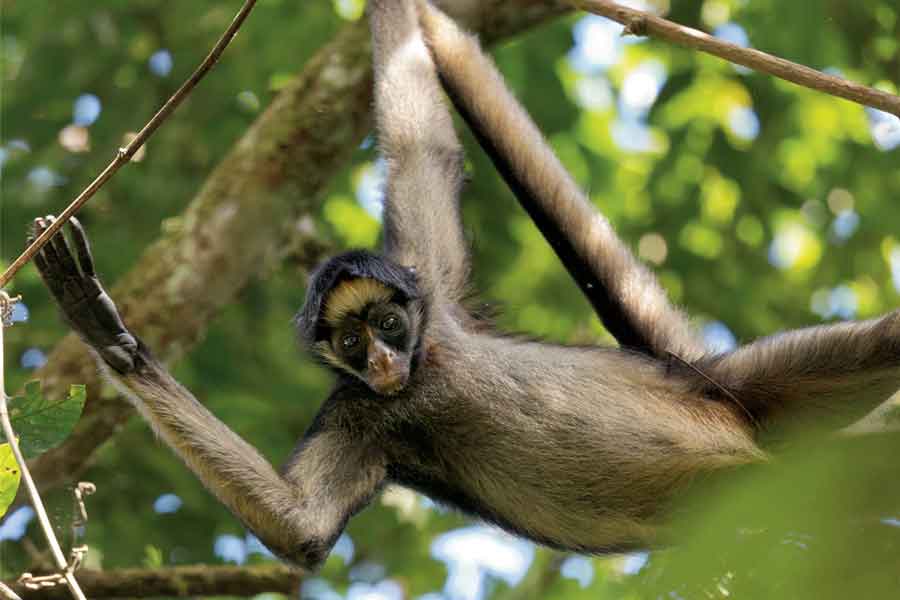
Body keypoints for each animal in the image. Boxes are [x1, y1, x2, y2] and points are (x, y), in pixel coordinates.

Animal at [28, 0, 900, 568]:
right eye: (350, 342)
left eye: (387, 325)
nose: (383, 362)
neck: (425, 373)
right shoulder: (358, 411)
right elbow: (297, 527)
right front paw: (110, 337)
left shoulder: (434, 293)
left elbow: (423, 144)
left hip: (751, 391)